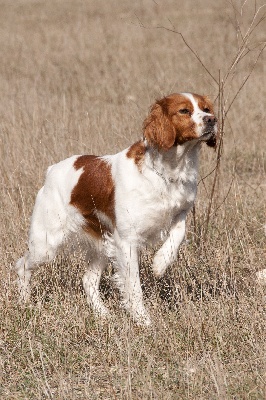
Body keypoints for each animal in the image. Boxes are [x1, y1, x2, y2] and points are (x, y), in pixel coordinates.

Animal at [15, 93, 217, 324]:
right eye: (184, 111)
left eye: (206, 108)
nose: (212, 120)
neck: (170, 168)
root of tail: (51, 171)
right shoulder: (126, 240)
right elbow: (134, 286)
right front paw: (142, 320)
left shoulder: (180, 211)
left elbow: (179, 233)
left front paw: (160, 263)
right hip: (46, 244)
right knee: (22, 265)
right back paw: (24, 303)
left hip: (102, 243)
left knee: (88, 280)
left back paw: (103, 314)